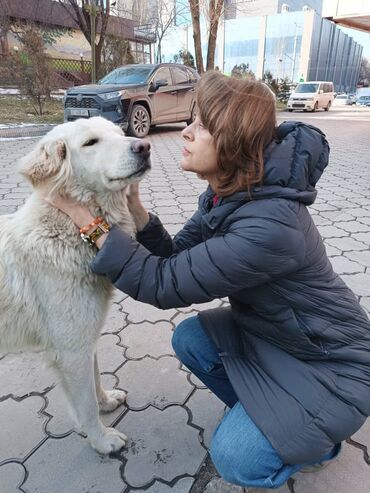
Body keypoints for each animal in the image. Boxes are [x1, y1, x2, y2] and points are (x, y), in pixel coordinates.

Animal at [0, 116, 150, 454]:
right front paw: (102, 440)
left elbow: (96, 382)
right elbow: (85, 404)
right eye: (90, 143)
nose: (145, 146)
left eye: (120, 134)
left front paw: (106, 402)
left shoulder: (85, 338)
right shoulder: (71, 350)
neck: (65, 229)